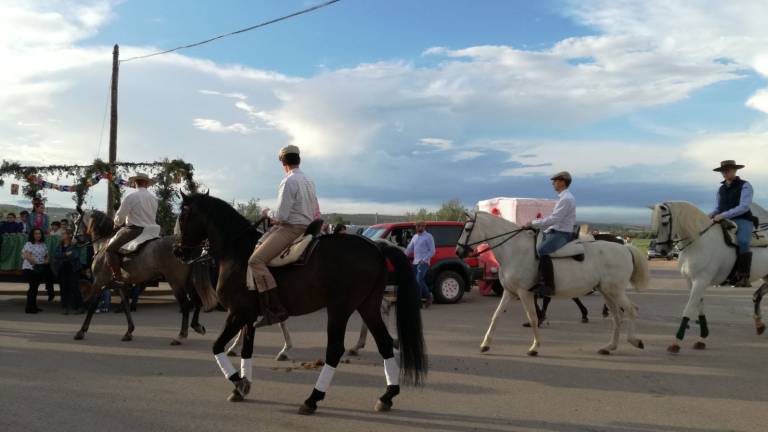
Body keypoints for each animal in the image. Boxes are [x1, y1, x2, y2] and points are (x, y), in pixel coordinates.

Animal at [174, 193, 426, 416]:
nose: (178, 251)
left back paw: (312, 399)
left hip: (339, 309)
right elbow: (247, 349)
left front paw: (239, 383)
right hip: (367, 306)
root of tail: (375, 247)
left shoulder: (238, 313)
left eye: (183, 216)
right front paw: (242, 385)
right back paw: (387, 395)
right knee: (383, 343)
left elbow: (217, 346)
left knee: (335, 350)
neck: (237, 251)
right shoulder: (249, 316)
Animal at [456, 211, 648, 356]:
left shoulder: (525, 293)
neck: (515, 250)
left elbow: (533, 318)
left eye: (467, 228)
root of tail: (624, 248)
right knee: (617, 316)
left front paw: (534, 347)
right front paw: (485, 344)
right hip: (606, 291)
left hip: (615, 291)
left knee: (631, 310)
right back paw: (610, 347)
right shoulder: (510, 292)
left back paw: (635, 341)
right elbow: (496, 316)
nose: (458, 251)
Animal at [648, 201, 768, 352]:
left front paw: (676, 342)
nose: (662, 251)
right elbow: (700, 307)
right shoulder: (691, 281)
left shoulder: (701, 280)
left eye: (664, 223)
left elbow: (689, 308)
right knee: (758, 295)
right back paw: (759, 325)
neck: (698, 242)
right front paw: (702, 338)